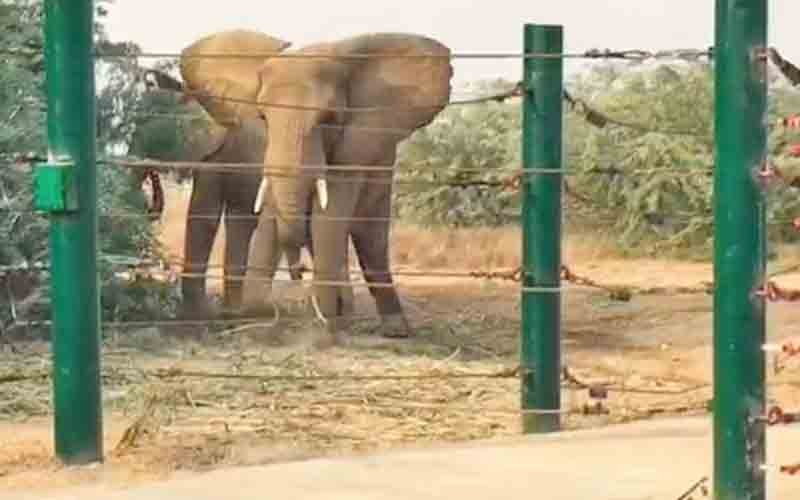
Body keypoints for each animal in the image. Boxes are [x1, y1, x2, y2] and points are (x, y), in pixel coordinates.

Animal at [238, 31, 454, 336]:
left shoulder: (356, 146)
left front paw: (328, 321)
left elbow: (329, 217)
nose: (299, 272)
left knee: (370, 238)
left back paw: (391, 328)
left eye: (328, 118)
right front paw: (256, 315)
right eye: (262, 117)